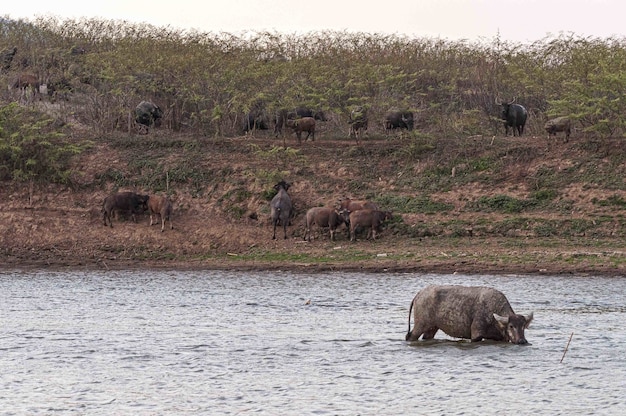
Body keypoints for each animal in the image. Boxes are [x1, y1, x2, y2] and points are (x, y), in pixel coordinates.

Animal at [404, 286, 532, 344]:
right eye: (511, 326)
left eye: (523, 326)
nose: (522, 341)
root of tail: (419, 294)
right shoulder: (476, 334)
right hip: (420, 325)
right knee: (410, 336)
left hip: (432, 327)